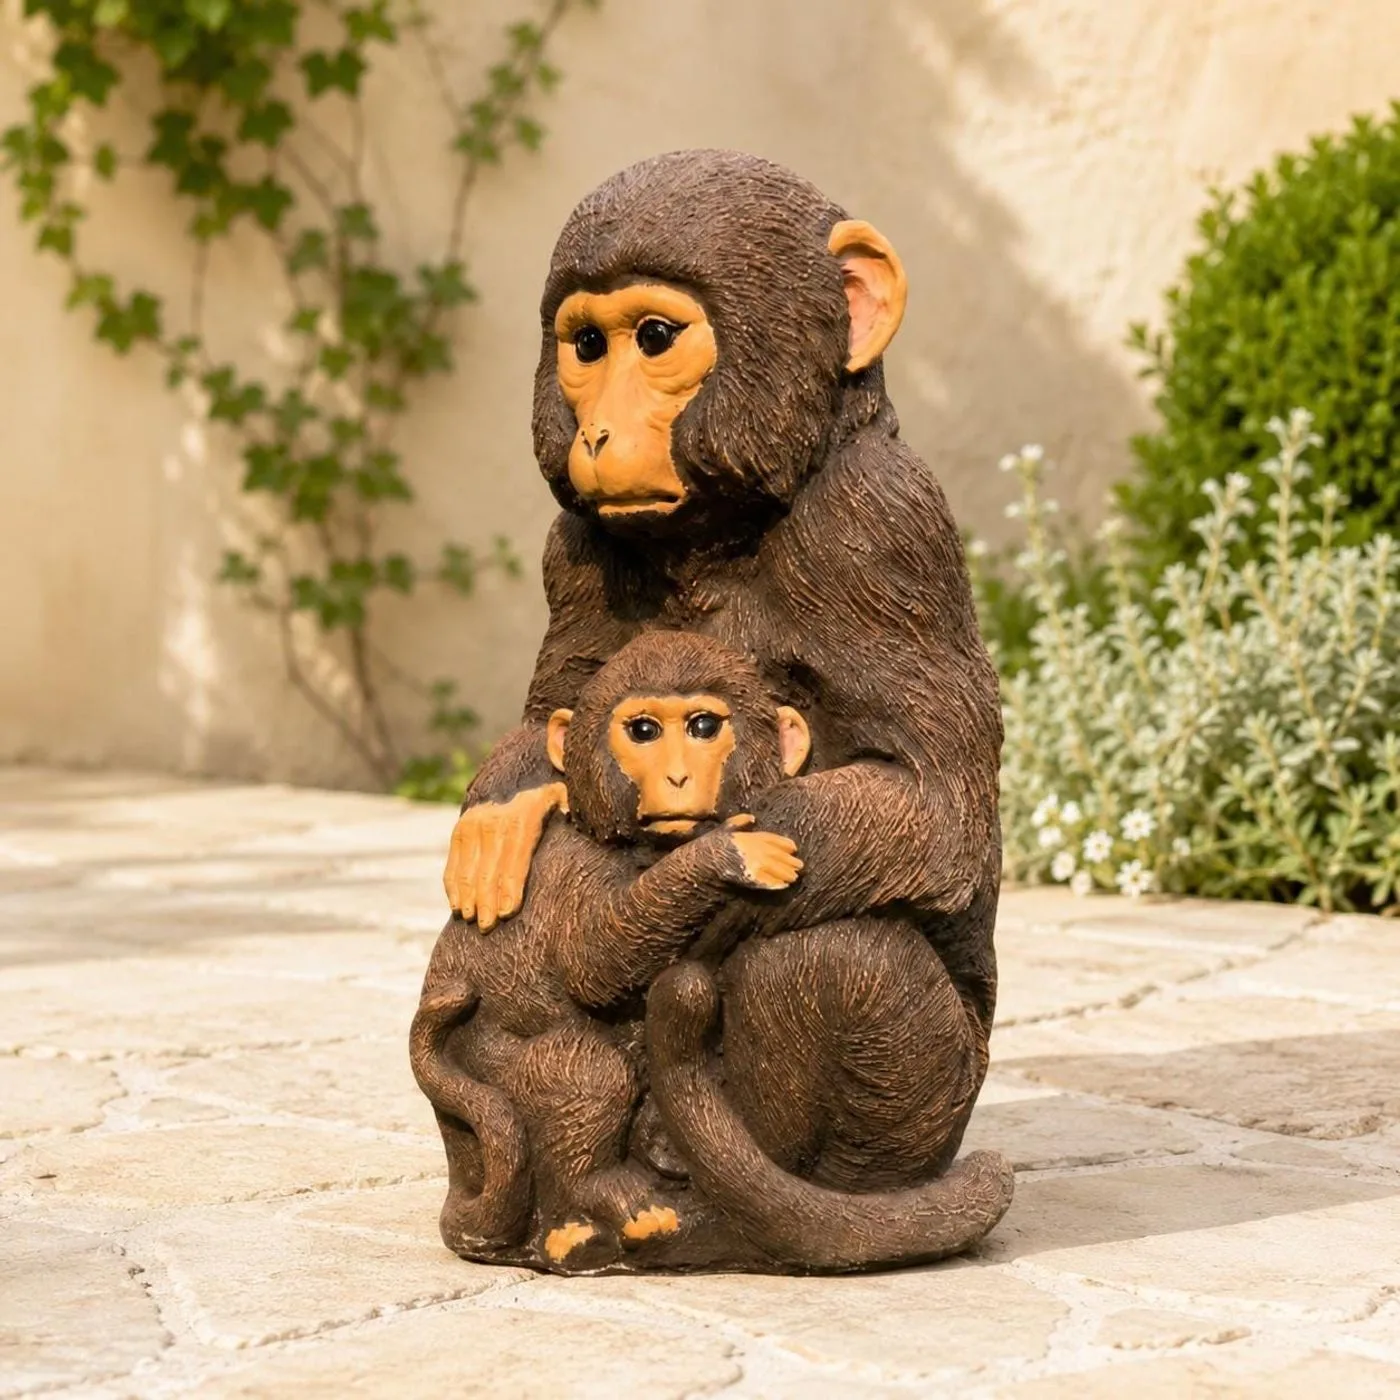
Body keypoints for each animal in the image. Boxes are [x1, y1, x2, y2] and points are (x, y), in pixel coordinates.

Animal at [411, 631, 810, 1270]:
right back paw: (603, 1201)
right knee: (587, 1073)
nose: (677, 777)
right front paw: (726, 854)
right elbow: (596, 960)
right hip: (485, 1057)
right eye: (643, 731)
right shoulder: (572, 864)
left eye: (703, 726)